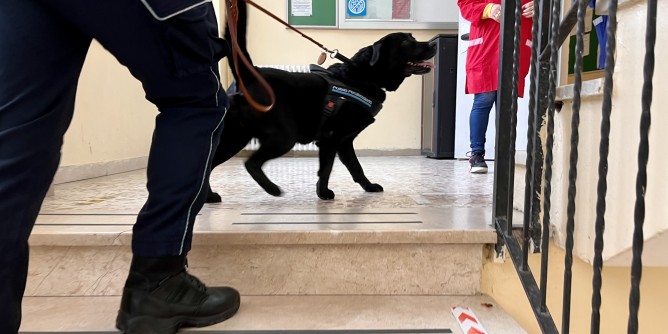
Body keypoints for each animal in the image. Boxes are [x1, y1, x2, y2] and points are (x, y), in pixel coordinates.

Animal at [209, 1, 438, 201]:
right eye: (406, 42)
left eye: (413, 37)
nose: (433, 43)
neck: (362, 76)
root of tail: (249, 75)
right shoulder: (331, 138)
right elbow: (326, 168)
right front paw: (324, 193)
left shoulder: (345, 141)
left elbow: (356, 167)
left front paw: (369, 186)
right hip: (283, 136)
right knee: (251, 163)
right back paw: (272, 189)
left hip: (235, 138)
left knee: (209, 164)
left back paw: (209, 197)